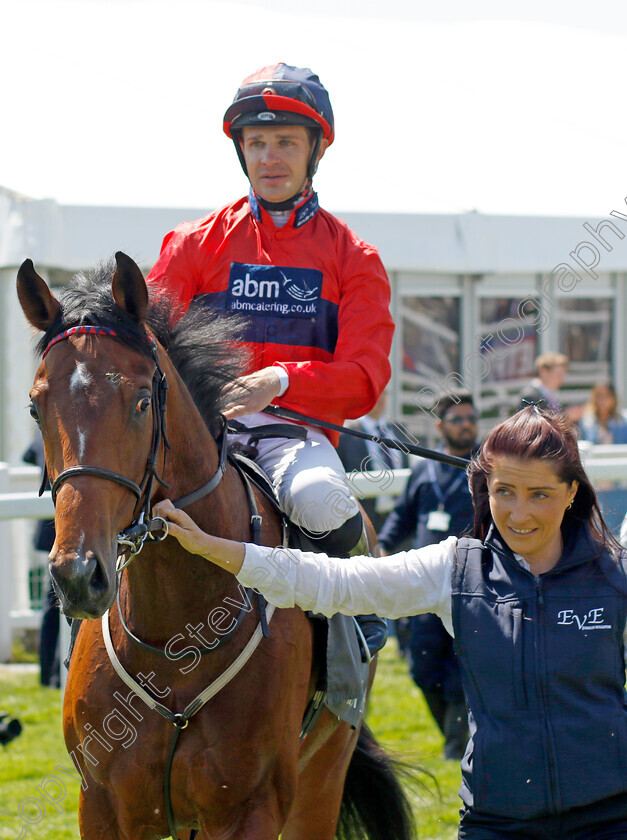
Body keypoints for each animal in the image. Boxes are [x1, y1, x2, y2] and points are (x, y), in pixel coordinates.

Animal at [17, 254, 418, 840]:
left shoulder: (247, 807)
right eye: (35, 407)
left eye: (142, 402)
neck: (175, 639)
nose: (78, 575)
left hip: (322, 776)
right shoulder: (105, 806)